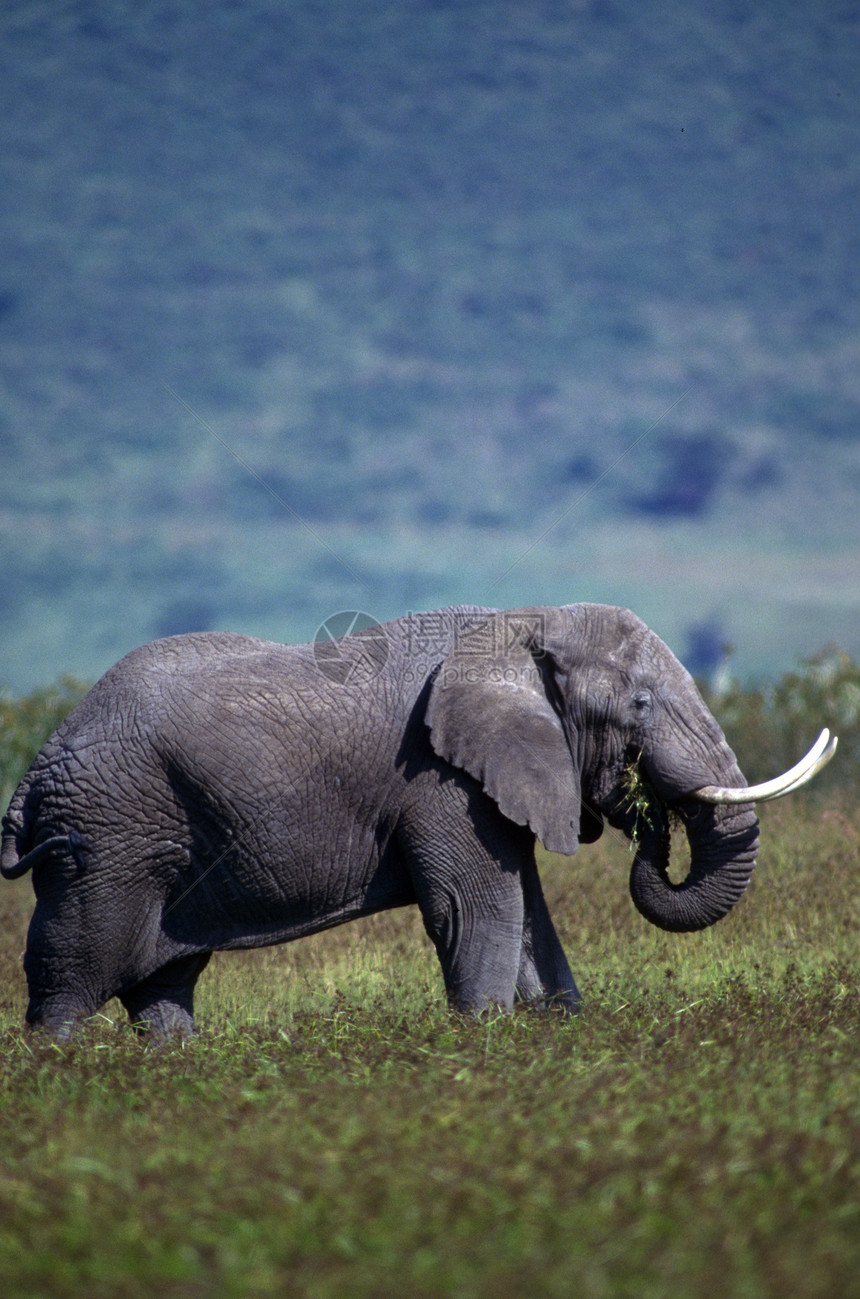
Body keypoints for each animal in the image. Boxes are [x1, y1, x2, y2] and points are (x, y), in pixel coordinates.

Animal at [0, 602, 836, 1039]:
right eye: (638, 704)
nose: (645, 813)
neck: (521, 623)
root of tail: (34, 772)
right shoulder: (441, 779)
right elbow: (475, 909)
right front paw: (488, 1043)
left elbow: (526, 914)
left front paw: (556, 1035)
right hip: (106, 843)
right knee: (71, 976)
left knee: (163, 985)